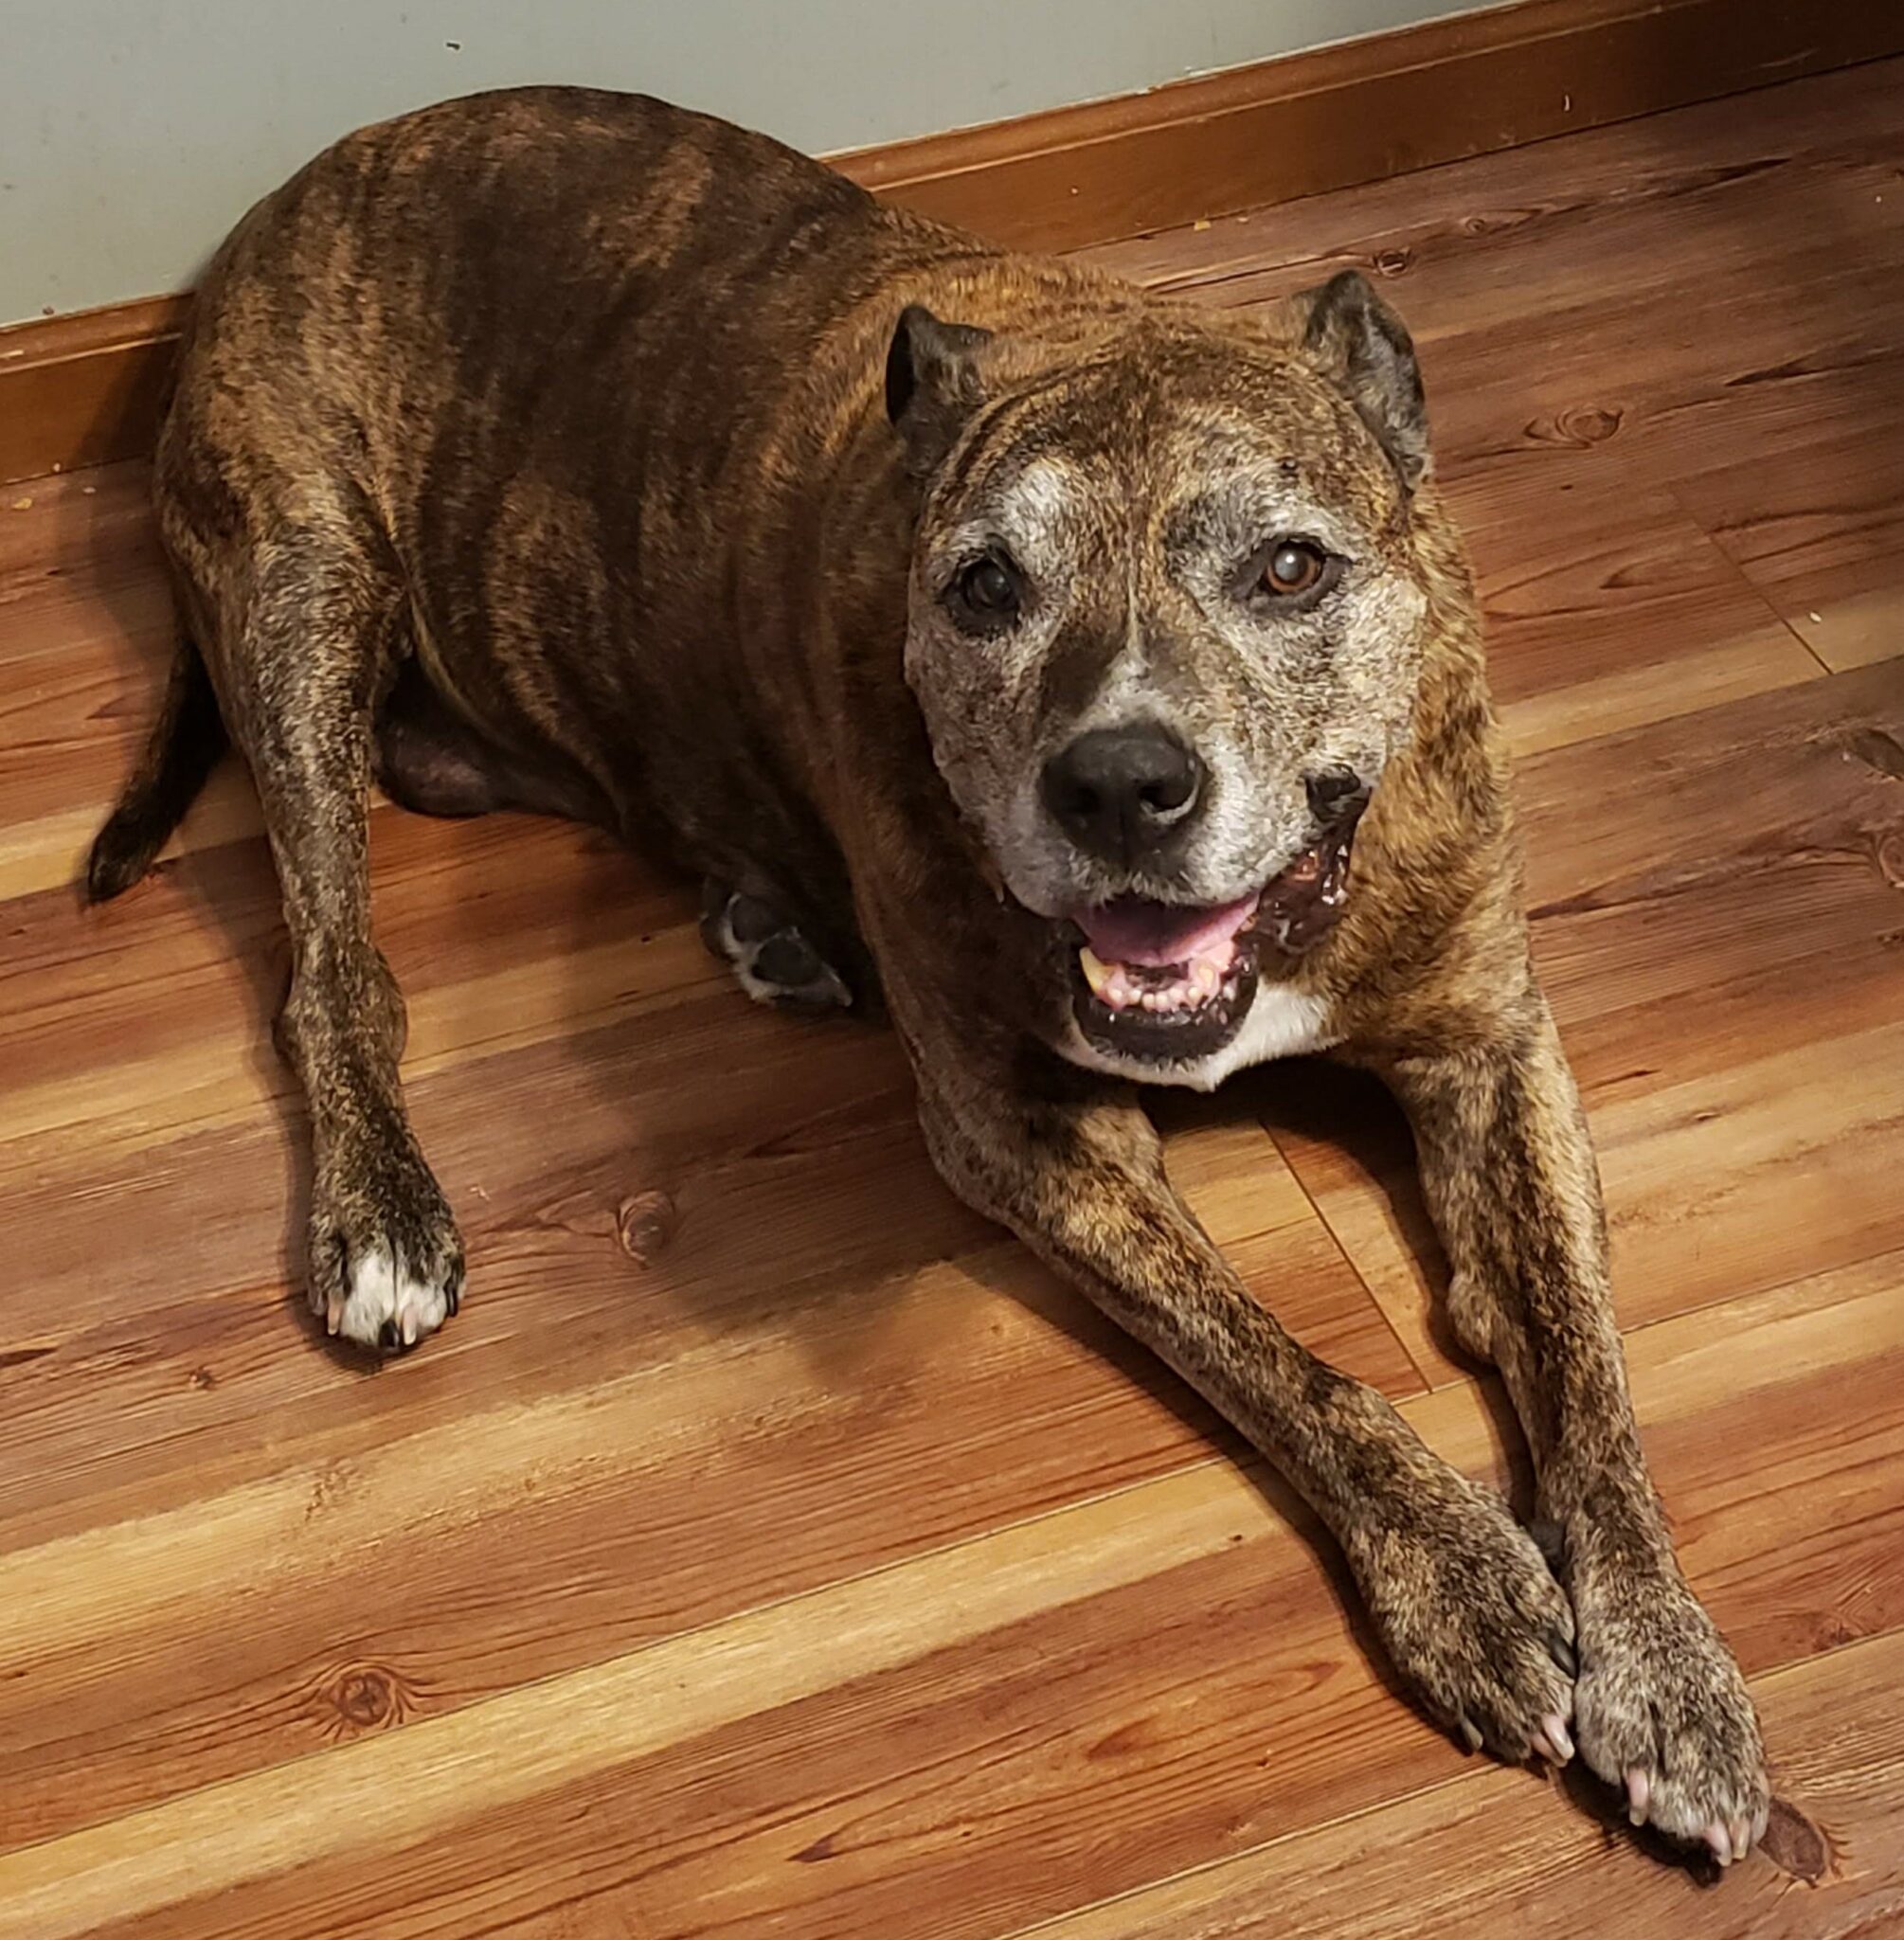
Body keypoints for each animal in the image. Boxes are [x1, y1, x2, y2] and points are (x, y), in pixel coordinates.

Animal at [85, 87, 1769, 1862]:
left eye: (1291, 570)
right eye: (984, 587)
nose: (1117, 783)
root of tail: (292, 196)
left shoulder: (1492, 1044)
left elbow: (1586, 1373)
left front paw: (1668, 1659)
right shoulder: (1025, 1128)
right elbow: (1284, 1363)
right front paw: (1455, 1568)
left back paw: (767, 920)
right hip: (302, 587)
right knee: (331, 953)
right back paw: (386, 1203)